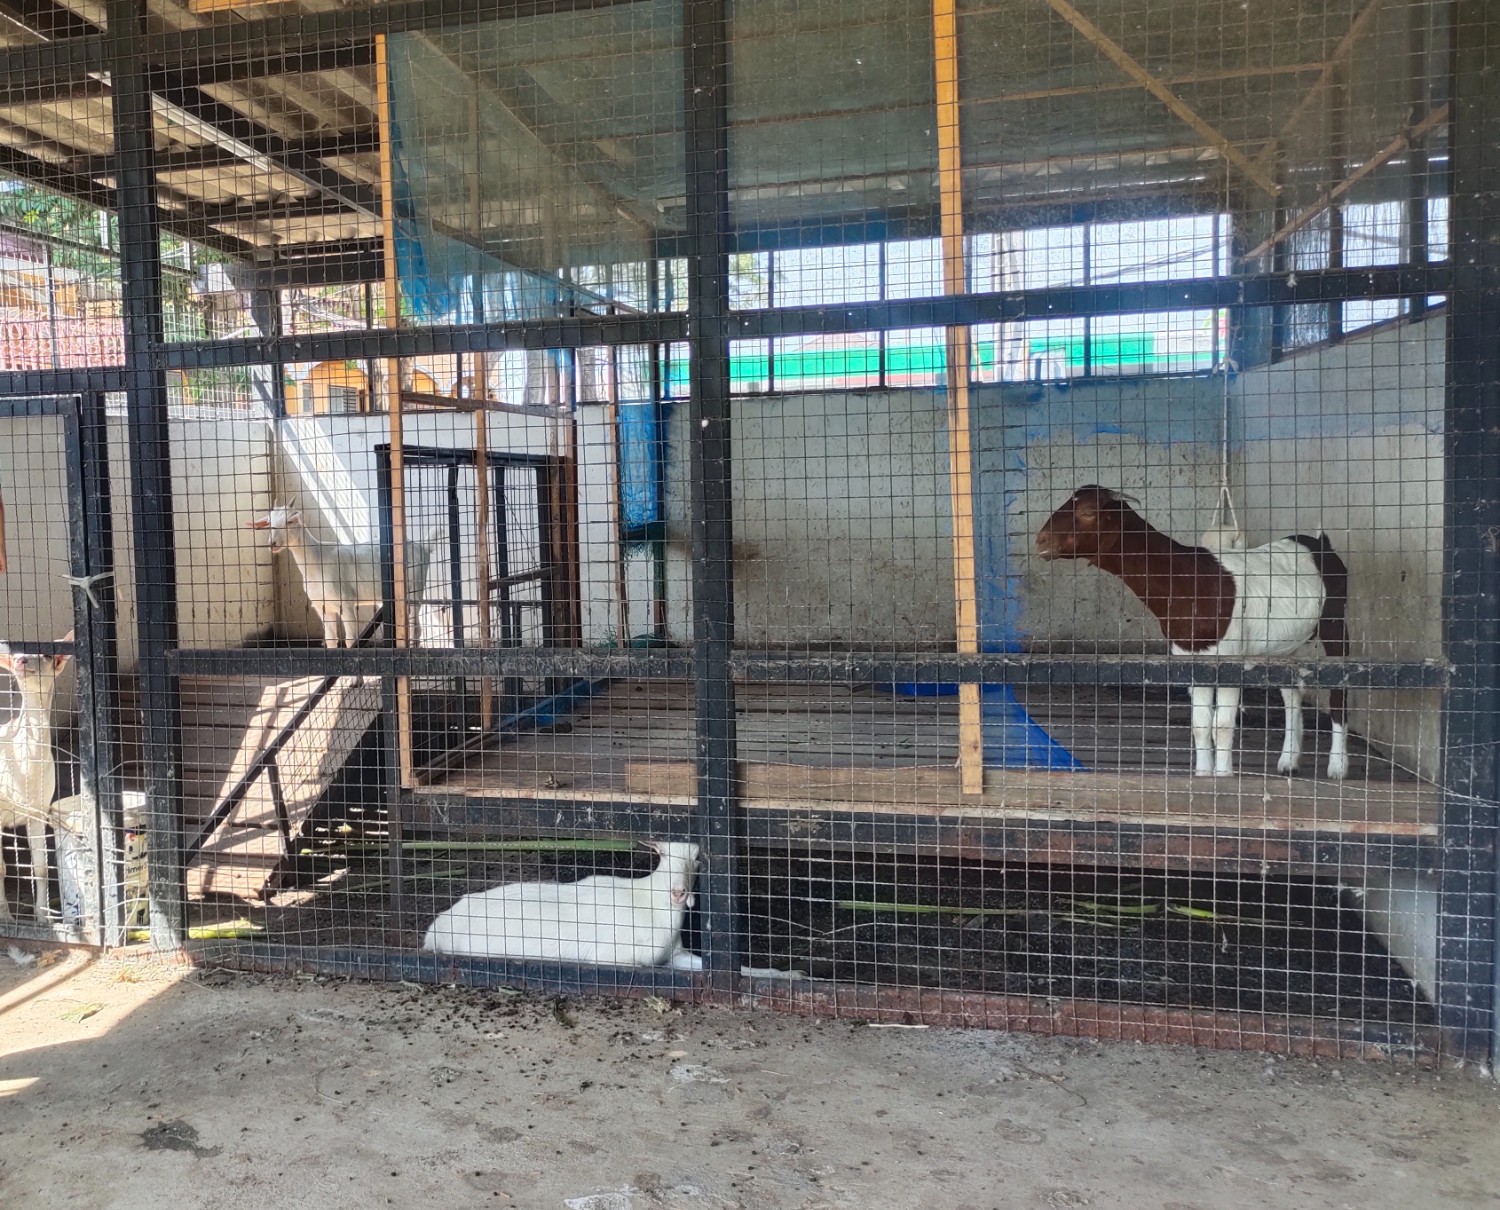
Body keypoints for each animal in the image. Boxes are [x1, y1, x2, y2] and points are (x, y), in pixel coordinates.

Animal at [0, 643, 71, 921]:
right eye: (14, 653)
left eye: (48, 653)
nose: (21, 661)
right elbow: (0, 868)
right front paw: (6, 918)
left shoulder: (38, 811)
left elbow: (41, 867)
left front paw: (43, 917)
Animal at [249, 504, 436, 648]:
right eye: (269, 523)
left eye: (289, 521)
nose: (272, 543)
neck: (317, 561)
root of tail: (423, 547)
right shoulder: (323, 607)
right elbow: (331, 640)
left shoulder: (346, 603)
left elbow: (351, 640)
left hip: (415, 589)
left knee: (415, 626)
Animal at [1035, 485, 1349, 780]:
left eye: (1088, 512)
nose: (1040, 541)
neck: (1188, 580)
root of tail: (1321, 544)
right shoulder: (1191, 656)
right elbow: (1200, 725)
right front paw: (1202, 776)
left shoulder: (1229, 659)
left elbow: (1222, 725)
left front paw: (1222, 778)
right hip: (1285, 643)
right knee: (1292, 693)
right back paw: (1288, 761)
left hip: (1335, 620)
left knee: (1339, 690)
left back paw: (1337, 766)